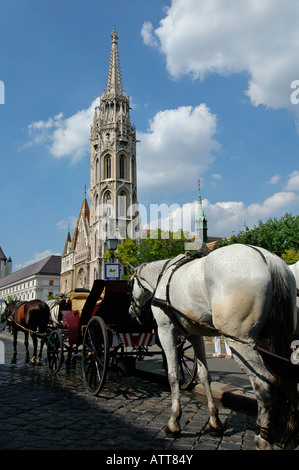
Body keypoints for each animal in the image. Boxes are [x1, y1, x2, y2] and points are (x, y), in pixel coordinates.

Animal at [128, 244, 298, 450]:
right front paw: (215, 422)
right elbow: (204, 375)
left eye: (129, 285)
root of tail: (266, 257)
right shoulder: (195, 334)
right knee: (285, 380)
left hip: (239, 342)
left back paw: (262, 437)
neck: (163, 276)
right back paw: (286, 434)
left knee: (264, 384)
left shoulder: (165, 329)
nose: (131, 311)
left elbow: (173, 375)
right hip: (273, 340)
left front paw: (174, 423)